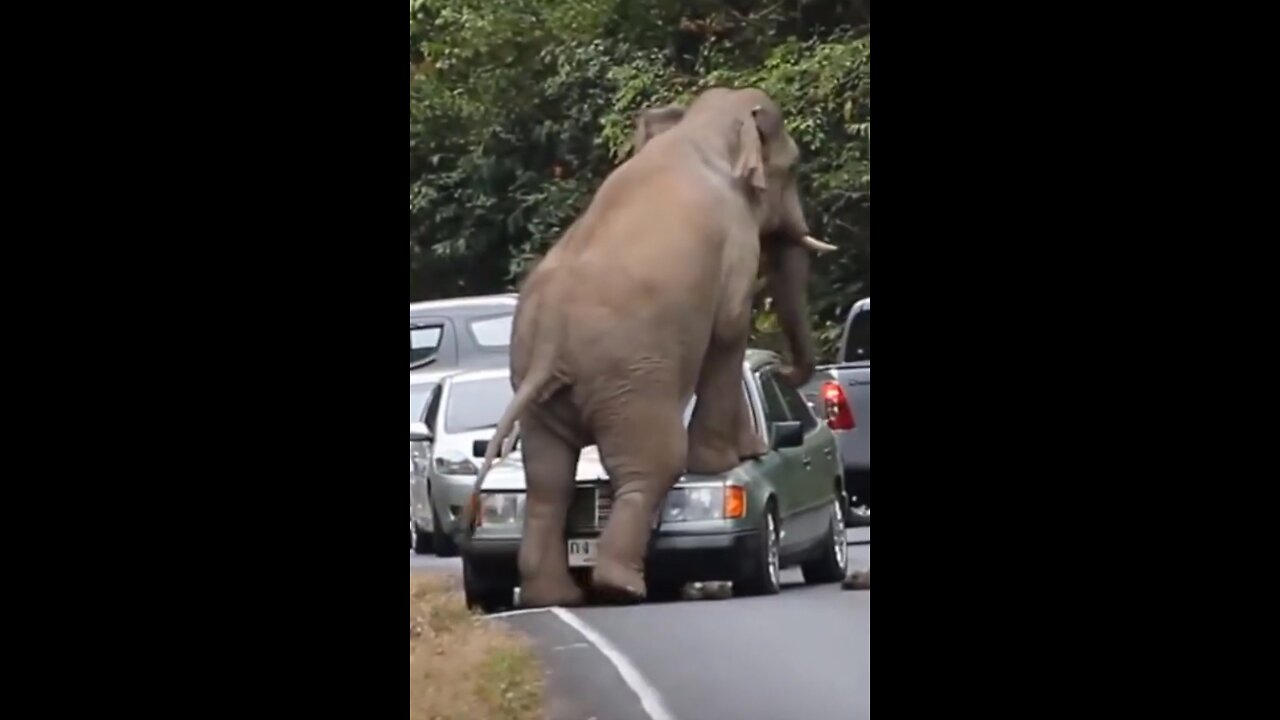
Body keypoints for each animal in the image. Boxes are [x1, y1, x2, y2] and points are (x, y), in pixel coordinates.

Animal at [468, 85, 829, 604]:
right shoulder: (735, 246)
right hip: (631, 383)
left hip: (538, 389)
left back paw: (554, 597)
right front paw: (730, 459)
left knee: (548, 481)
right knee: (649, 466)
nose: (785, 373)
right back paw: (622, 585)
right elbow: (729, 332)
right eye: (793, 167)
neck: (699, 128)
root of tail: (550, 342)